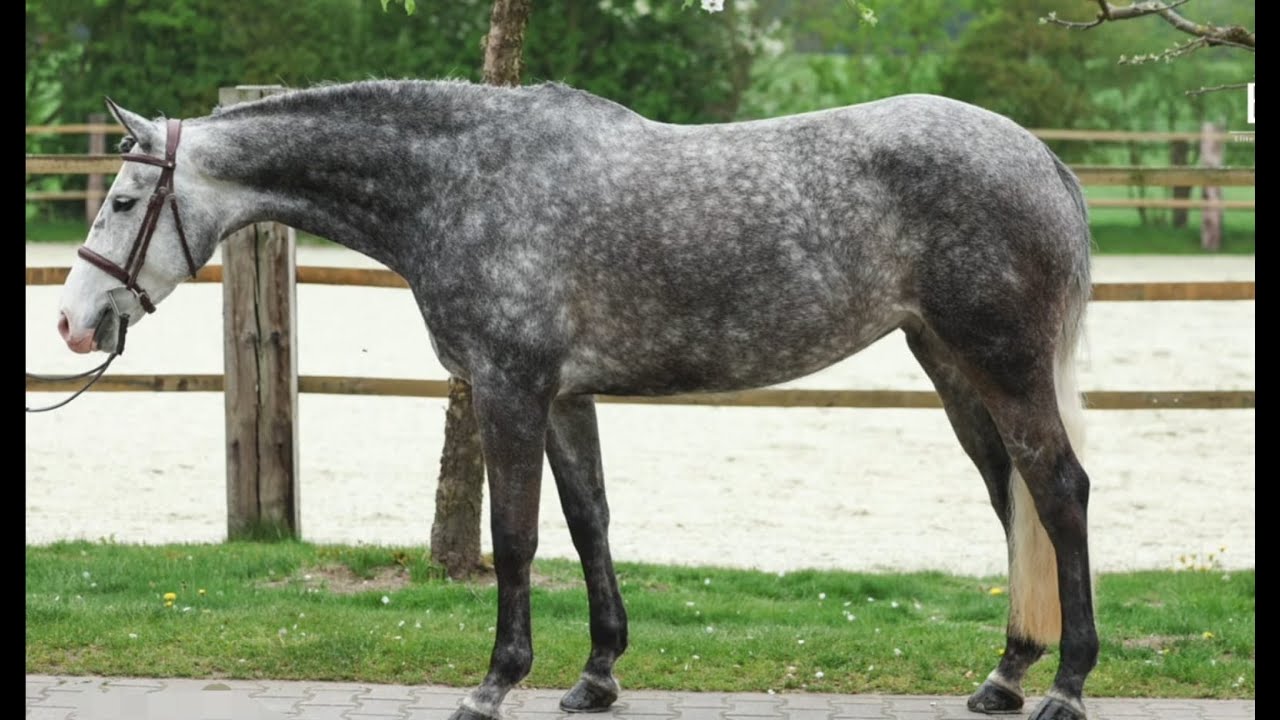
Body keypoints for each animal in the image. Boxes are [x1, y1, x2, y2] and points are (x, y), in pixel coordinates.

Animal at [53, 79, 1097, 720]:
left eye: (119, 201)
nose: (71, 321)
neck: (465, 181)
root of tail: (1042, 159)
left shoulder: (508, 387)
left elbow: (515, 536)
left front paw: (493, 682)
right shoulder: (562, 397)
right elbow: (589, 518)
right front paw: (597, 674)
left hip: (1001, 365)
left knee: (1059, 493)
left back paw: (1068, 683)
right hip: (952, 368)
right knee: (1012, 502)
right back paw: (1006, 674)